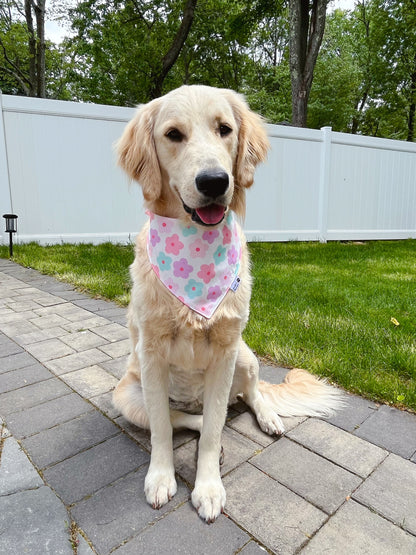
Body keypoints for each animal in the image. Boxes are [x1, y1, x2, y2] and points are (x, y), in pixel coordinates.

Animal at [112, 84, 342, 524]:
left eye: (224, 129)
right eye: (173, 134)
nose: (215, 181)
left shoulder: (225, 351)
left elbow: (218, 427)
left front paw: (208, 488)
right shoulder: (150, 354)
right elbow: (165, 429)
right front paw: (161, 477)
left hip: (245, 356)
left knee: (250, 395)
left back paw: (268, 417)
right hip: (127, 397)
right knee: (183, 418)